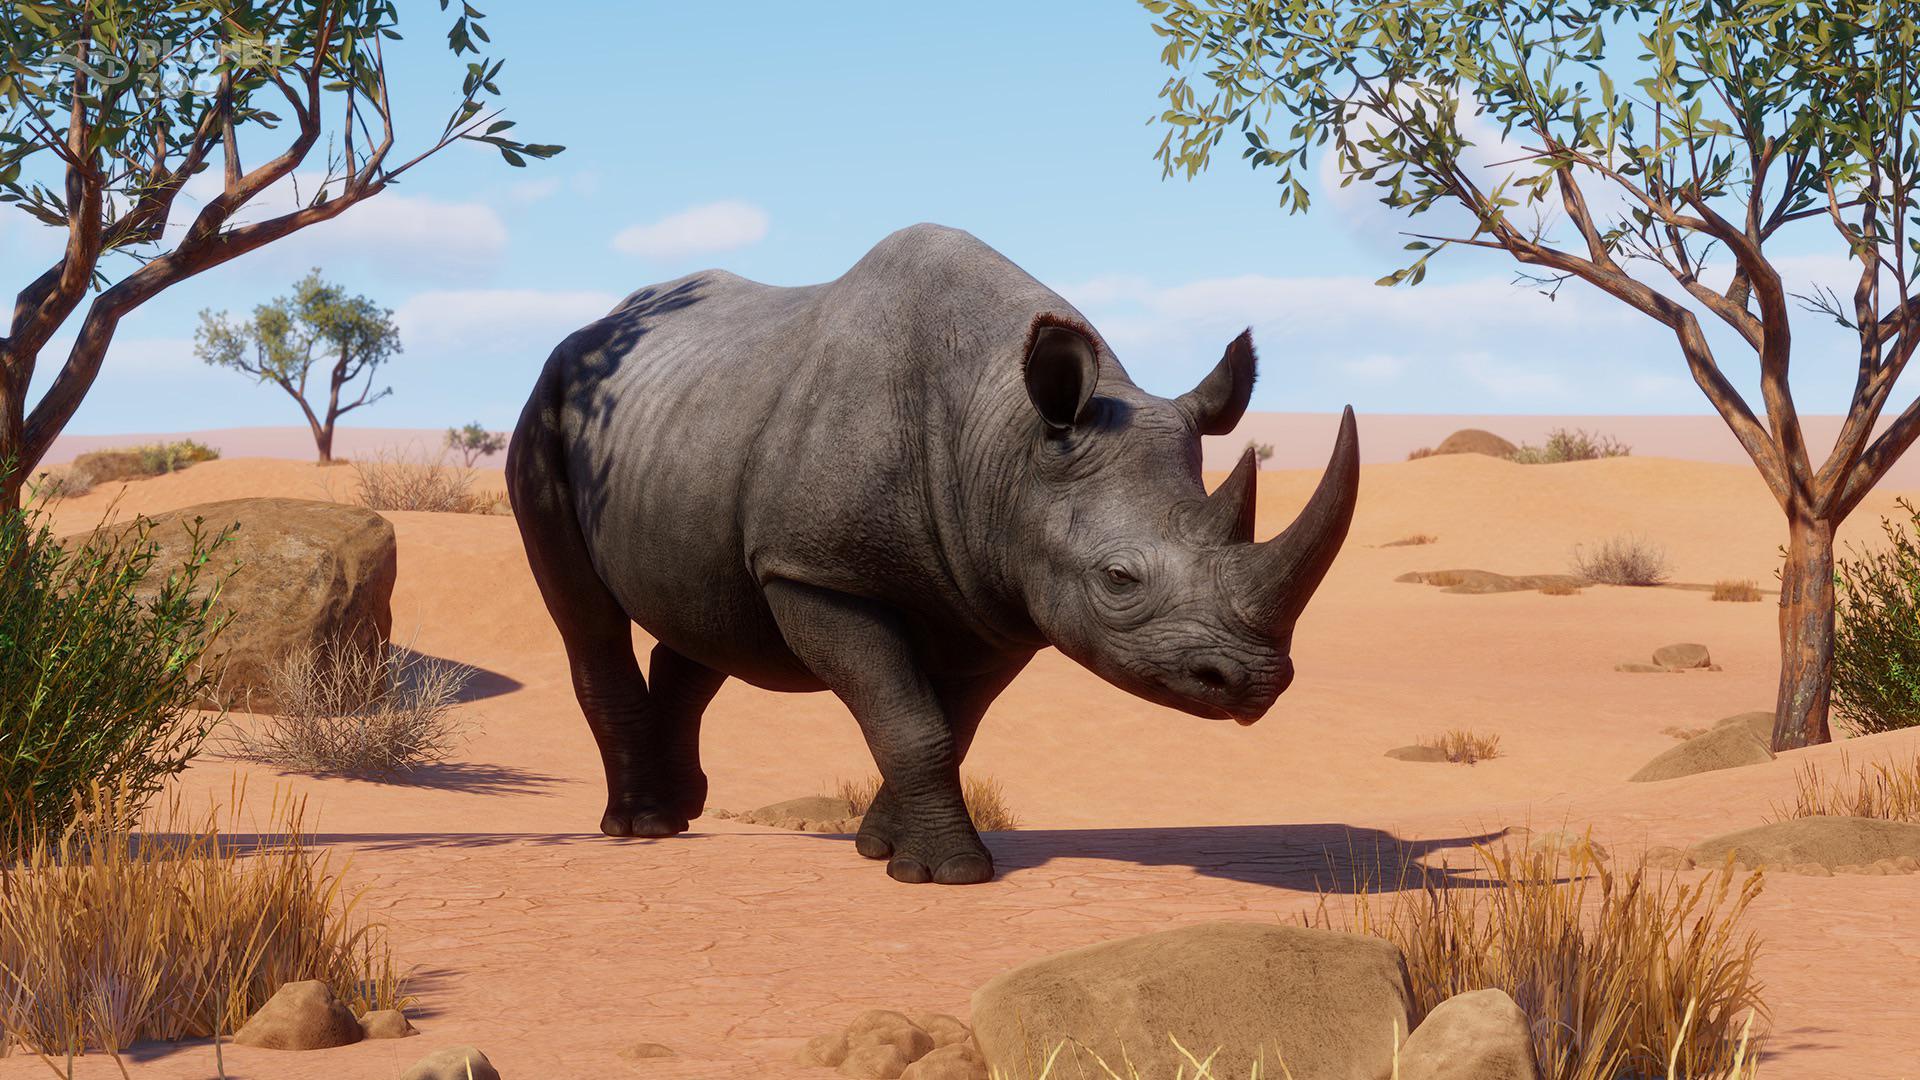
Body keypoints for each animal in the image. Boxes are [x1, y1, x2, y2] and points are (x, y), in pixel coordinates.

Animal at [507, 224, 1358, 885]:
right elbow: (911, 717)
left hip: (683, 424)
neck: (1008, 439)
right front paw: (951, 872)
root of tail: (597, 328)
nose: (1254, 683)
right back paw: (641, 827)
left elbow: (949, 722)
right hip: (548, 403)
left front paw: (885, 848)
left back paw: (681, 810)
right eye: (1119, 578)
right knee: (587, 618)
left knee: (706, 614)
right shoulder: (817, 572)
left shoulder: (1000, 598)